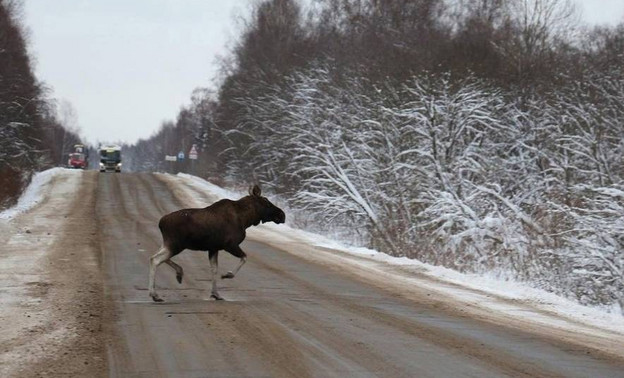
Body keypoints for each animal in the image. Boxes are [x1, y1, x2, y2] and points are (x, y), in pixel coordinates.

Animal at [150, 185, 286, 302]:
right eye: (266, 202)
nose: (282, 215)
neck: (246, 219)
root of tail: (160, 223)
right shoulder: (230, 245)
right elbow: (244, 257)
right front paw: (227, 275)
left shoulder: (213, 248)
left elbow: (214, 270)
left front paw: (216, 294)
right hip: (176, 244)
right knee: (156, 260)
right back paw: (155, 295)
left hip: (169, 243)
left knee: (155, 256)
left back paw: (179, 273)